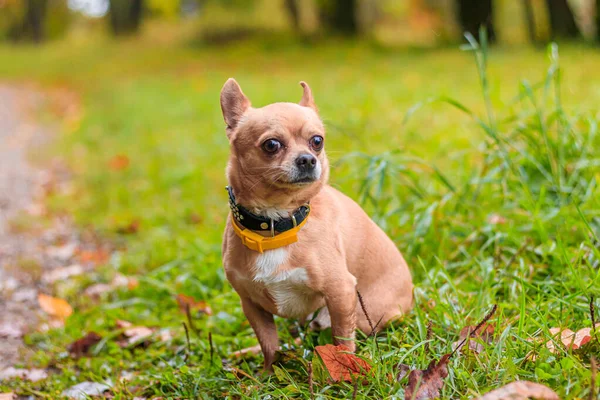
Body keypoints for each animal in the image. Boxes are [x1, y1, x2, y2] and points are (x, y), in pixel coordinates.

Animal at [220, 79, 412, 372]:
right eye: (271, 145)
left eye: (317, 141)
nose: (308, 159)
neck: (276, 225)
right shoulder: (251, 304)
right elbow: (269, 344)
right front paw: (269, 373)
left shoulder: (340, 291)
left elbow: (342, 339)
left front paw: (345, 369)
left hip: (364, 315)